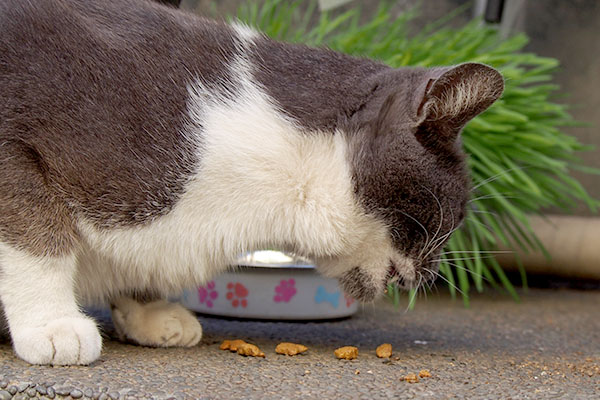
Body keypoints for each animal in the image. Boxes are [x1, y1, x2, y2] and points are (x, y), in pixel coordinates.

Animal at [0, 0, 504, 366]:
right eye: (456, 211)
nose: (435, 271)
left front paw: (151, 312)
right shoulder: (15, 140)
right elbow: (36, 235)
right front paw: (53, 325)